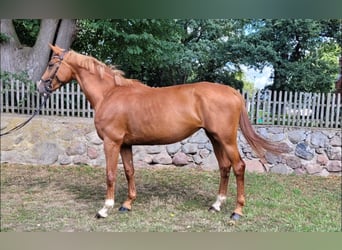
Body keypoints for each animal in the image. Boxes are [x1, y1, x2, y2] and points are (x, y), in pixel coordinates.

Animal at [38, 44, 284, 223]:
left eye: (51, 63)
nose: (40, 87)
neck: (109, 94)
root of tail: (233, 91)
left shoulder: (111, 142)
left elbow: (110, 174)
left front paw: (104, 209)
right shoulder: (125, 144)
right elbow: (129, 171)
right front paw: (126, 205)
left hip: (226, 138)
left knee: (239, 167)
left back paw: (237, 211)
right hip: (215, 138)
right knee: (225, 167)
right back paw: (216, 205)